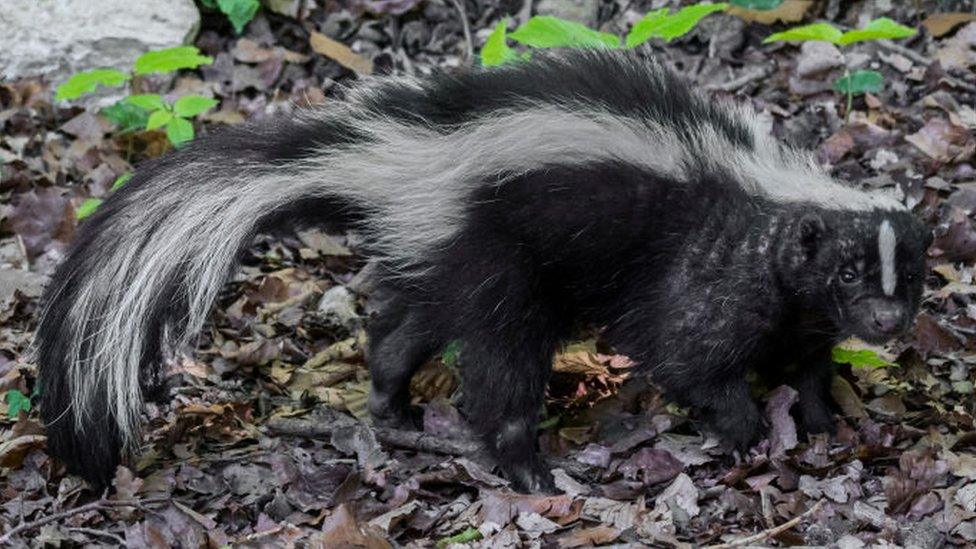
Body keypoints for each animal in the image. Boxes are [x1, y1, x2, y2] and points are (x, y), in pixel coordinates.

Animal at [36, 48, 932, 492]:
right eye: (850, 272)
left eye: (909, 277)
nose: (888, 324)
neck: (766, 199)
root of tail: (391, 156)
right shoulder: (710, 266)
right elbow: (690, 353)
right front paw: (744, 428)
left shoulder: (793, 306)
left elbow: (805, 359)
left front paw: (821, 415)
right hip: (497, 254)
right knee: (501, 362)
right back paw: (529, 466)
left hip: (447, 248)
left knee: (407, 329)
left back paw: (391, 402)